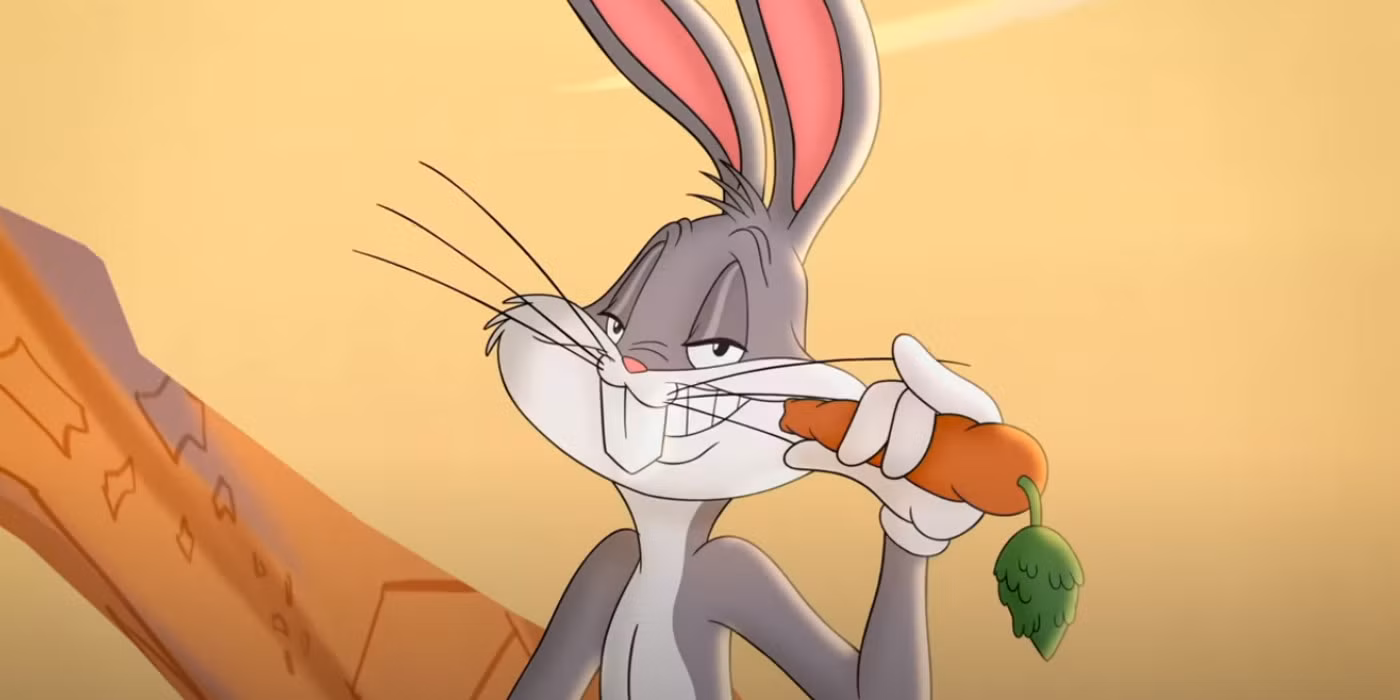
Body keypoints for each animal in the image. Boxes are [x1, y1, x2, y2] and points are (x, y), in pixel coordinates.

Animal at [484, 1, 1007, 698]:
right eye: (616, 322)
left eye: (718, 348)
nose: (632, 362)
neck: (663, 549)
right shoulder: (605, 562)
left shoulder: (736, 570)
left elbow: (869, 686)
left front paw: (917, 475)